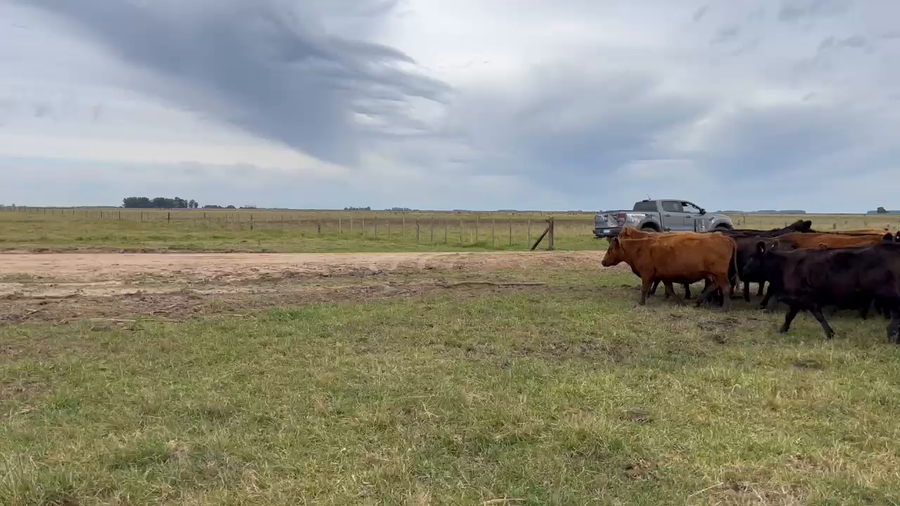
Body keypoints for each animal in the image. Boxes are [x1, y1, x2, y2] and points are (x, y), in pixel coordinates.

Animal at [601, 231, 739, 311]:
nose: (603, 262)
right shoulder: (665, 277)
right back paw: (697, 302)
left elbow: (644, 289)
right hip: (712, 275)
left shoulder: (646, 275)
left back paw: (724, 308)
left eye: (610, 249)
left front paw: (641, 303)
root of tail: (724, 238)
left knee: (725, 288)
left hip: (720, 275)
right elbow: (669, 290)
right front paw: (681, 302)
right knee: (713, 287)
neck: (640, 248)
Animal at [741, 241, 900, 341]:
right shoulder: (797, 300)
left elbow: (818, 316)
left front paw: (830, 334)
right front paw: (783, 329)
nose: (742, 273)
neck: (785, 265)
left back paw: (892, 336)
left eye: (752, 257)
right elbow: (789, 315)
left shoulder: (805, 298)